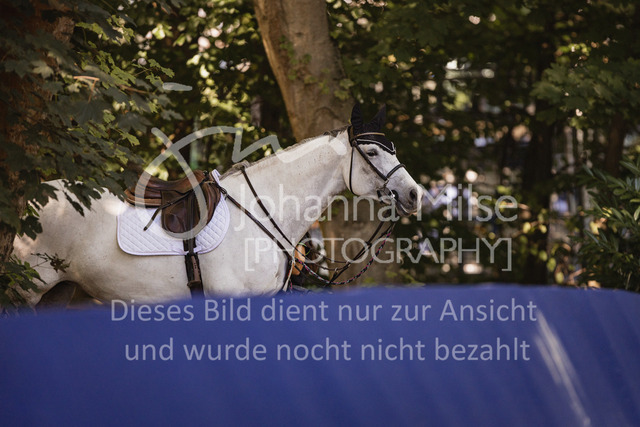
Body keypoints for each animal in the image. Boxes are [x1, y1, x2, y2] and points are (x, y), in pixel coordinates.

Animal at [13, 104, 422, 305]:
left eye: (392, 148)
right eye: (372, 152)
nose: (414, 194)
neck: (265, 209)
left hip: (60, 290)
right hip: (28, 287)